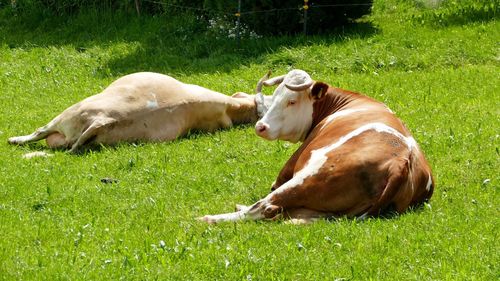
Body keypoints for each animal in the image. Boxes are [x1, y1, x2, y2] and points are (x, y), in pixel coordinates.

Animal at [199, 69, 434, 222]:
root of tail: (401, 161)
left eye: (292, 101)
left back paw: (211, 219)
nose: (260, 126)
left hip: (308, 176)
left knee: (264, 206)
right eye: (275, 95)